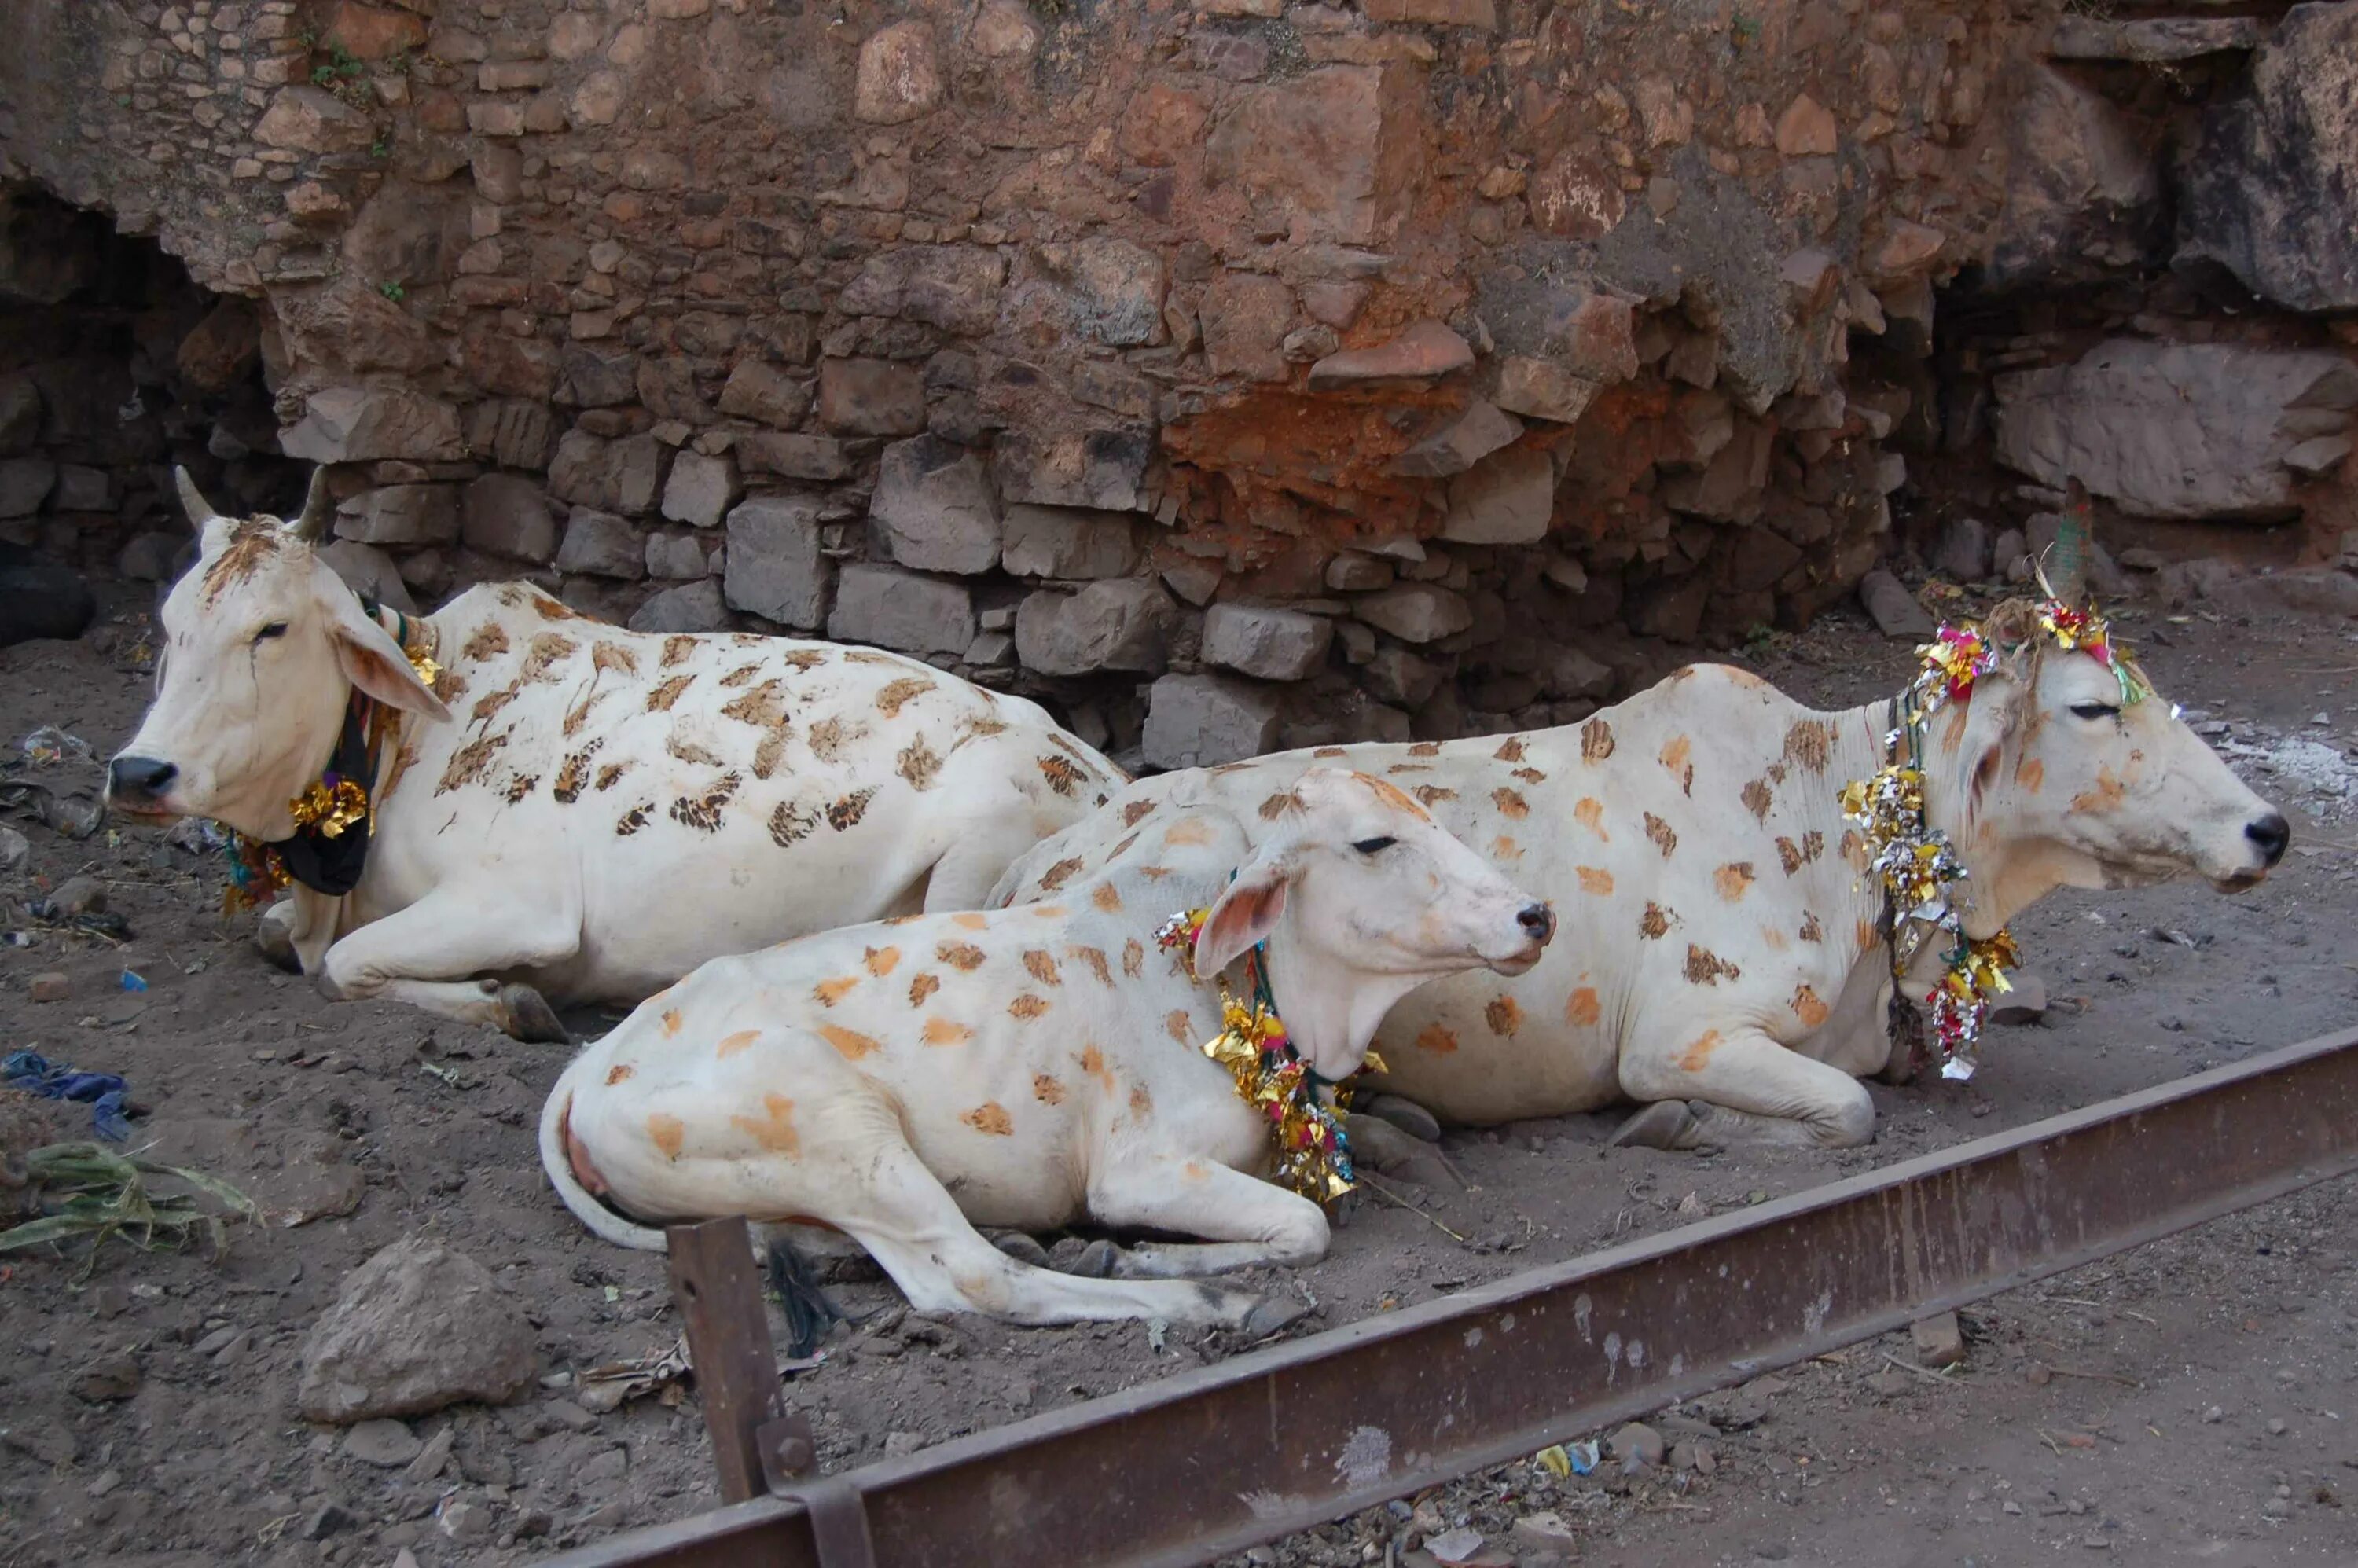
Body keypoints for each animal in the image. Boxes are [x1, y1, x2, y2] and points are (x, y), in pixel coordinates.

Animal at [97, 474, 1118, 1037]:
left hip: (979, 858)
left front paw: (510, 1002)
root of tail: (1101, 772)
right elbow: (284, 942)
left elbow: (346, 969)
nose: (138, 773)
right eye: (170, 621)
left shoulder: (519, 903)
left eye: (271, 629)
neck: (400, 746)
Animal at [540, 769, 1556, 1320]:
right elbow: (1304, 1227)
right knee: (973, 1282)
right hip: (842, 1127)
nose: (1534, 914)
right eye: (1375, 842)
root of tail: (589, 1069)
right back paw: (1192, 1301)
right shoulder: (1137, 1169)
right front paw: (1145, 1256)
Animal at [995, 599, 2283, 1151]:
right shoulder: (1684, 1032)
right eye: (2091, 707)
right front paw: (1682, 1125)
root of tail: (1036, 858)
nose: (2269, 829)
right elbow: (1847, 1107)